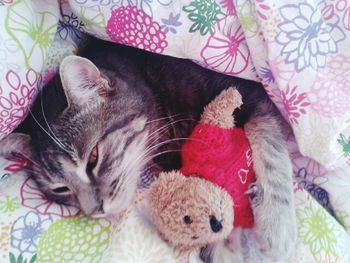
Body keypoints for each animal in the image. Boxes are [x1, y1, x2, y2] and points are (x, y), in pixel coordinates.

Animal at [1, 38, 296, 262]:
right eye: (60, 189)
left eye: (93, 158)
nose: (95, 209)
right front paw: (222, 247)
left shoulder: (254, 94)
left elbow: (270, 150)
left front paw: (276, 226)